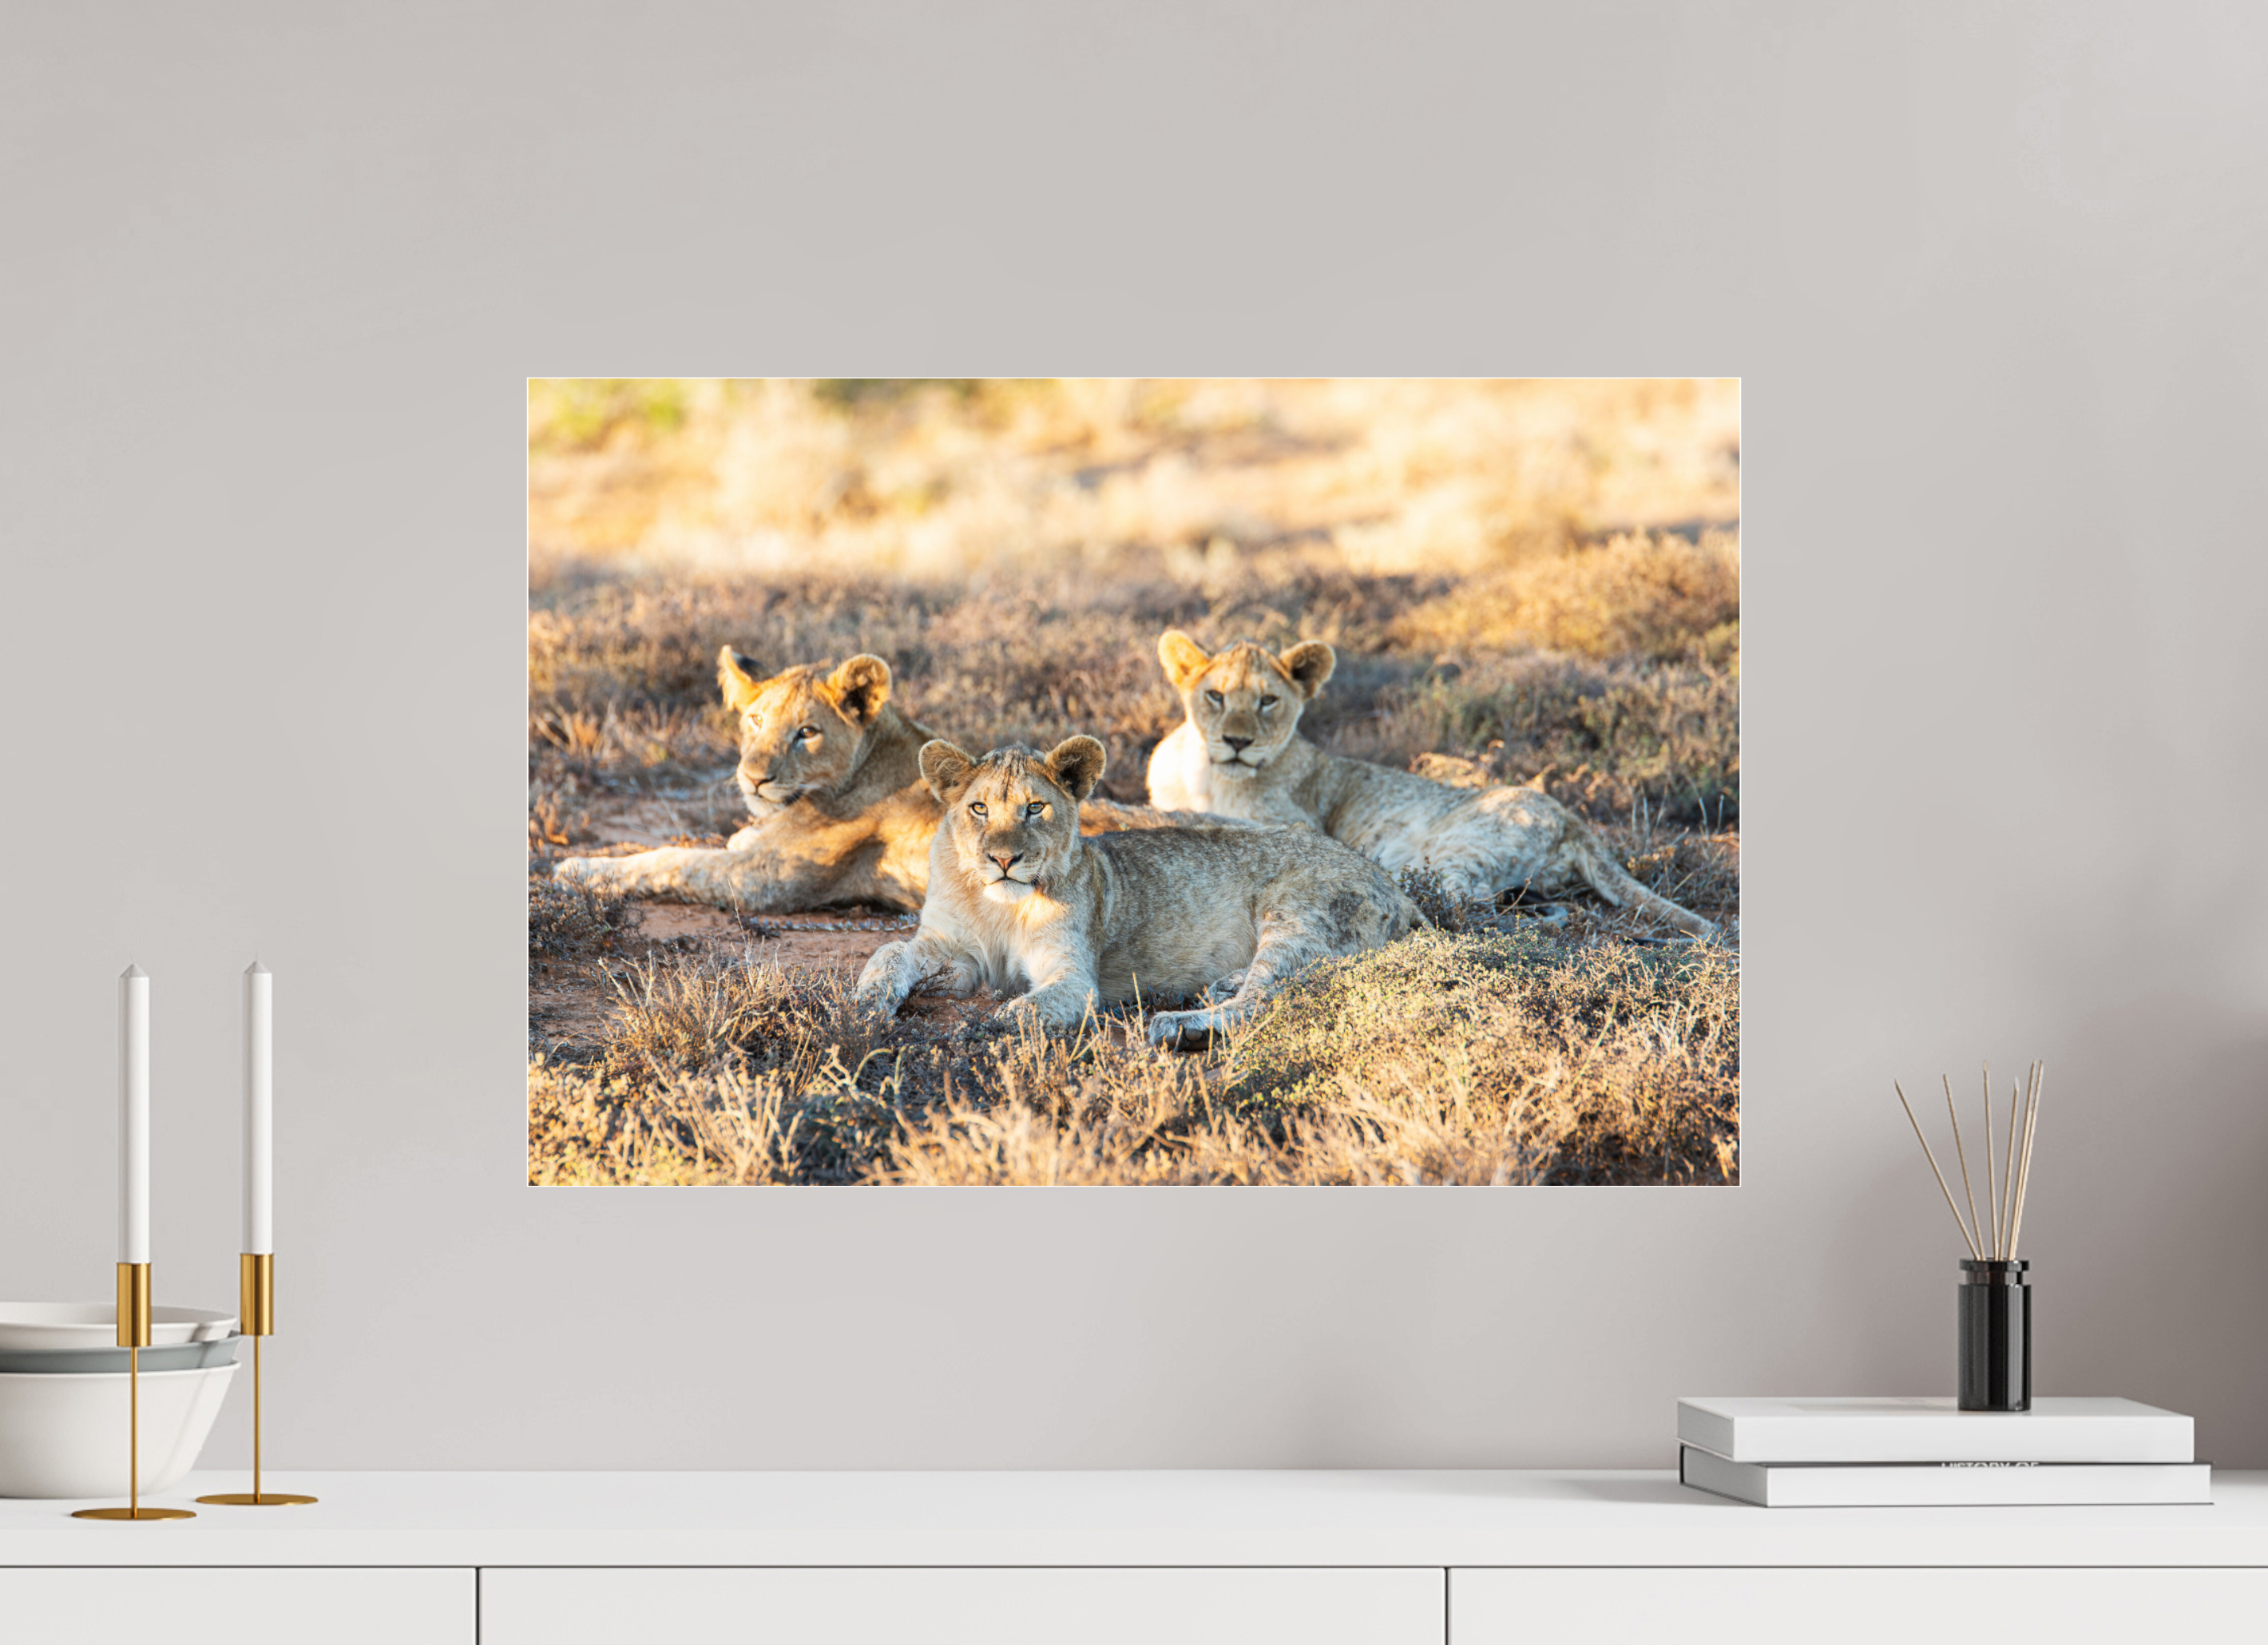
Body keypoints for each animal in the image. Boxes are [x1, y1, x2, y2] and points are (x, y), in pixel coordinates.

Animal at [552, 648, 1207, 912]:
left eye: (806, 733)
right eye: (755, 720)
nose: (754, 778)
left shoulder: (765, 882)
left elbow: (669, 860)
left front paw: (578, 869)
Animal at [855, 736, 1420, 1048]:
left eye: (1035, 808)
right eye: (978, 808)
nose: (1003, 860)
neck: (998, 907)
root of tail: (1397, 888)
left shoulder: (1074, 975)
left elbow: (1031, 1007)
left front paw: (1000, 1023)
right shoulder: (956, 953)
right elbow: (889, 951)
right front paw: (864, 1001)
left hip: (1295, 912)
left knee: (1267, 997)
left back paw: (1183, 1026)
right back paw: (1221, 986)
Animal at [1145, 632, 1719, 939]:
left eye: (1269, 701)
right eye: (1215, 696)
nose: (1237, 741)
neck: (1208, 774)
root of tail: (1574, 820)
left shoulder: (1290, 827)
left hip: (1451, 852)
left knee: (1467, 907)